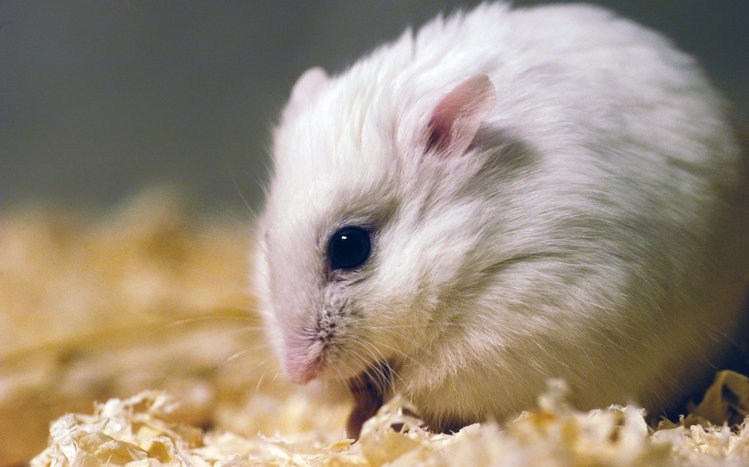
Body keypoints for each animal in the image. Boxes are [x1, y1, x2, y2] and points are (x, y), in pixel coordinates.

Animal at [254, 2, 749, 435]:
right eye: (266, 239)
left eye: (350, 246)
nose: (297, 374)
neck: (474, 239)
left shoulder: (524, 321)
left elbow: (426, 382)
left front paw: (387, 414)